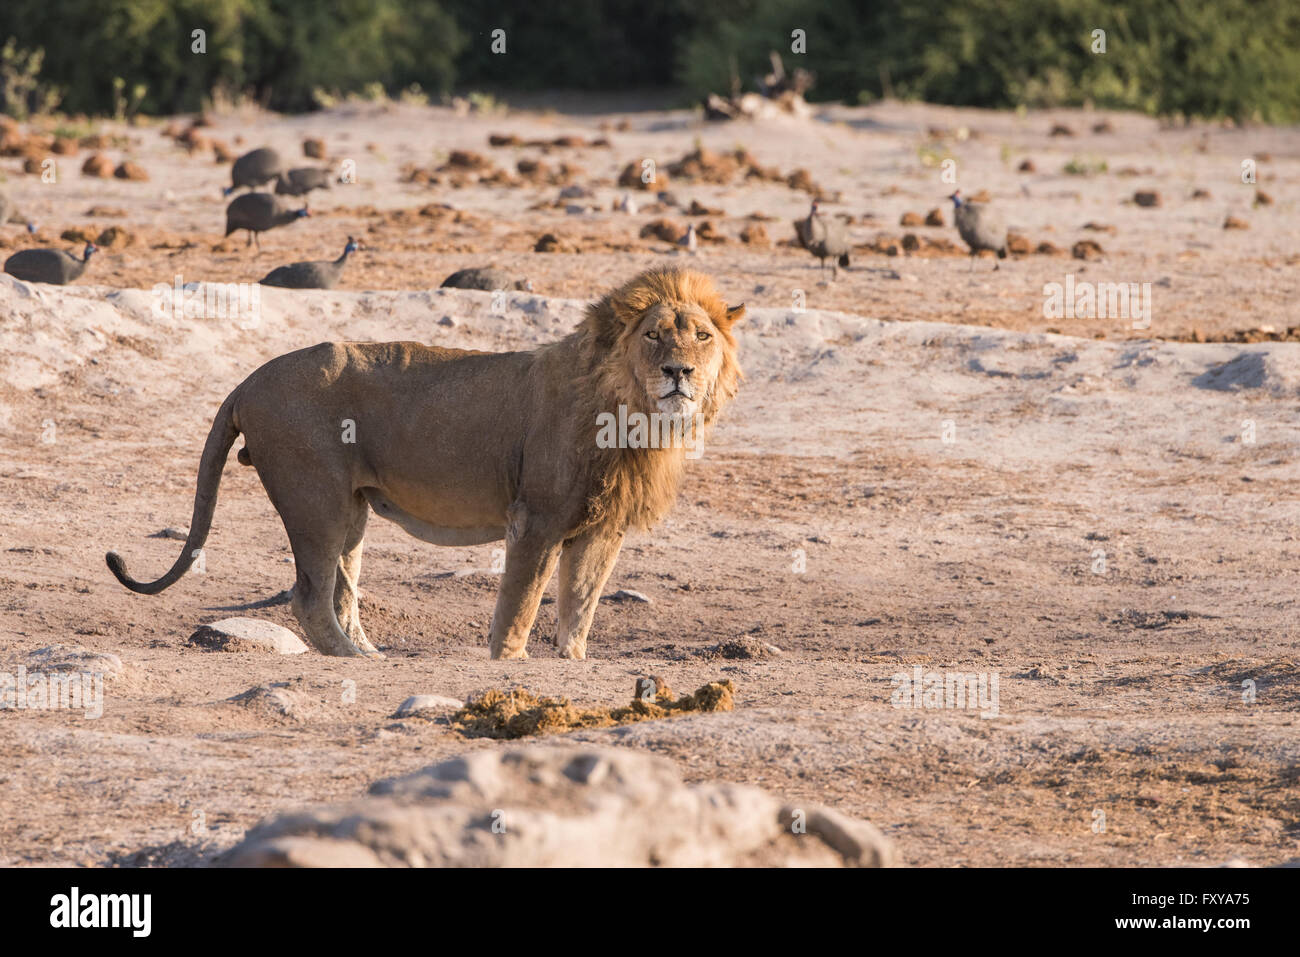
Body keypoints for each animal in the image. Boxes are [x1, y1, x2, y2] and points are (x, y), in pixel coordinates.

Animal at [106, 267, 748, 657]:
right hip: (315, 500)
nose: (679, 372)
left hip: (352, 512)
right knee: (309, 596)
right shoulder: (536, 519)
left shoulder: (602, 528)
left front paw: (570, 663)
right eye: (654, 337)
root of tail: (248, 380)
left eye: (701, 337)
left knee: (341, 591)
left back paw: (367, 651)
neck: (635, 415)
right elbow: (520, 604)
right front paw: (508, 664)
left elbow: (580, 607)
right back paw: (352, 660)